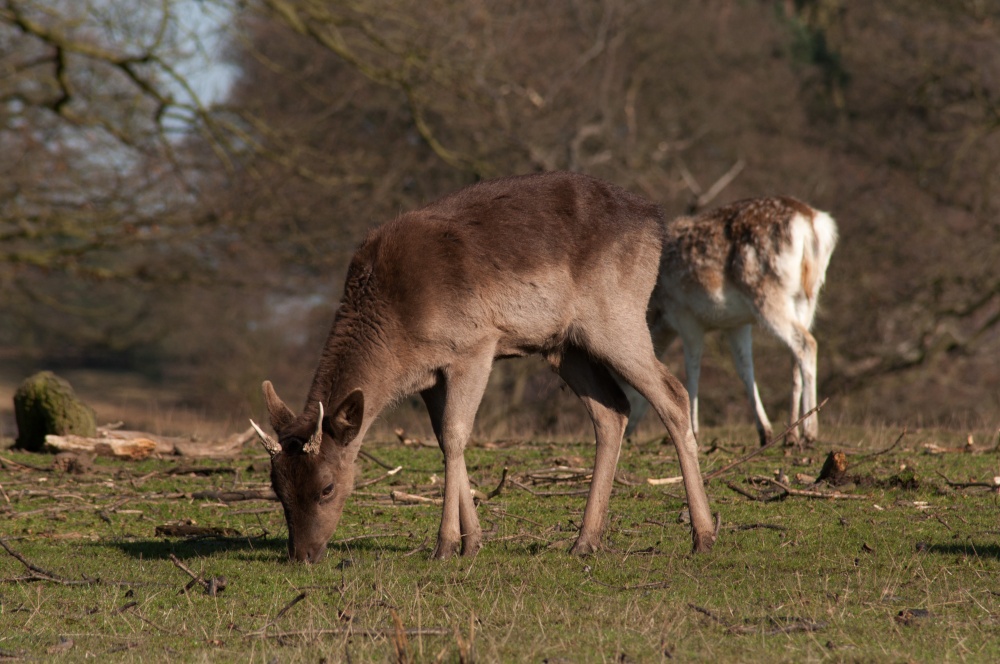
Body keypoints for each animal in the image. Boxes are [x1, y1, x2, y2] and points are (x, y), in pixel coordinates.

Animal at [250, 170, 720, 560]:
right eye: (277, 488)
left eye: (327, 487)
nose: (302, 554)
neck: (398, 333)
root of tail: (656, 219)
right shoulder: (430, 377)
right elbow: (444, 439)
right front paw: (472, 542)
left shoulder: (475, 344)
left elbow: (457, 434)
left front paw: (445, 546)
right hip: (566, 345)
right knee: (612, 411)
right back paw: (585, 541)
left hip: (617, 315)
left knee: (674, 396)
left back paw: (703, 536)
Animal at [624, 196, 836, 446]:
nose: (625, 433)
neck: (659, 312)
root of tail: (811, 222)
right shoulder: (736, 325)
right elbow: (745, 370)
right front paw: (764, 431)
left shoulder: (685, 316)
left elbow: (692, 369)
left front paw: (695, 431)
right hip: (807, 297)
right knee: (795, 354)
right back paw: (791, 435)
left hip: (767, 292)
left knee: (806, 343)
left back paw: (810, 432)